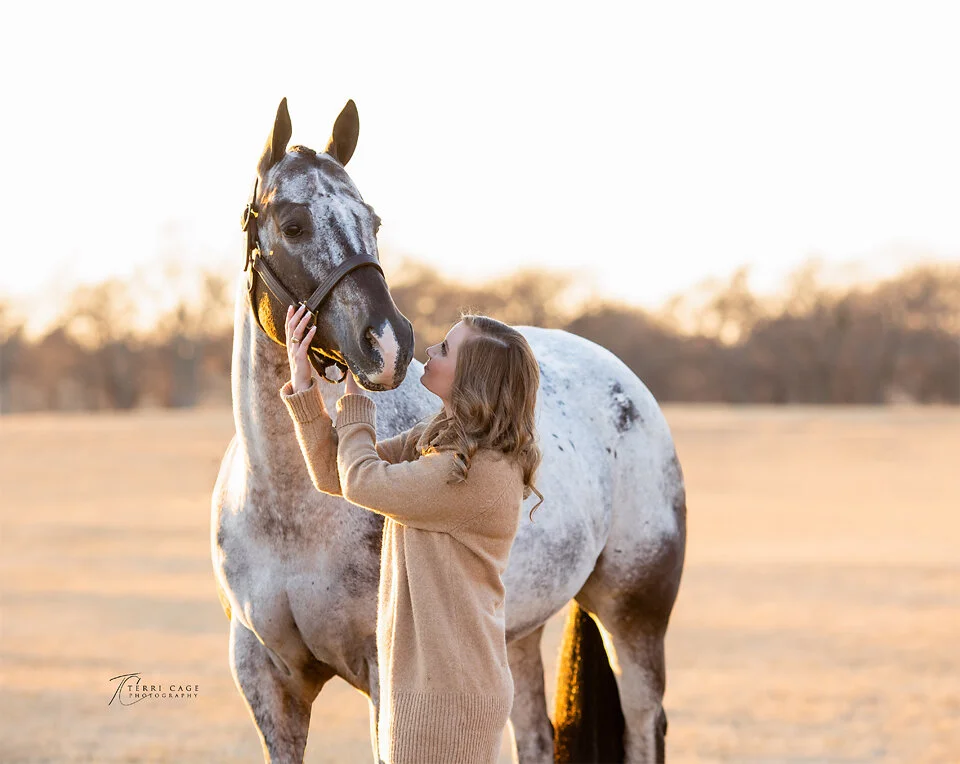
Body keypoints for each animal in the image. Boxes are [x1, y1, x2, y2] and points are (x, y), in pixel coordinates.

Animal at [211, 98, 686, 764]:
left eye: (373, 220)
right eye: (294, 224)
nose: (387, 343)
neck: (287, 508)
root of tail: (625, 382)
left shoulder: (385, 674)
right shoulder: (267, 683)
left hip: (635, 616)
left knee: (645, 725)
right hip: (515, 633)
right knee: (534, 736)